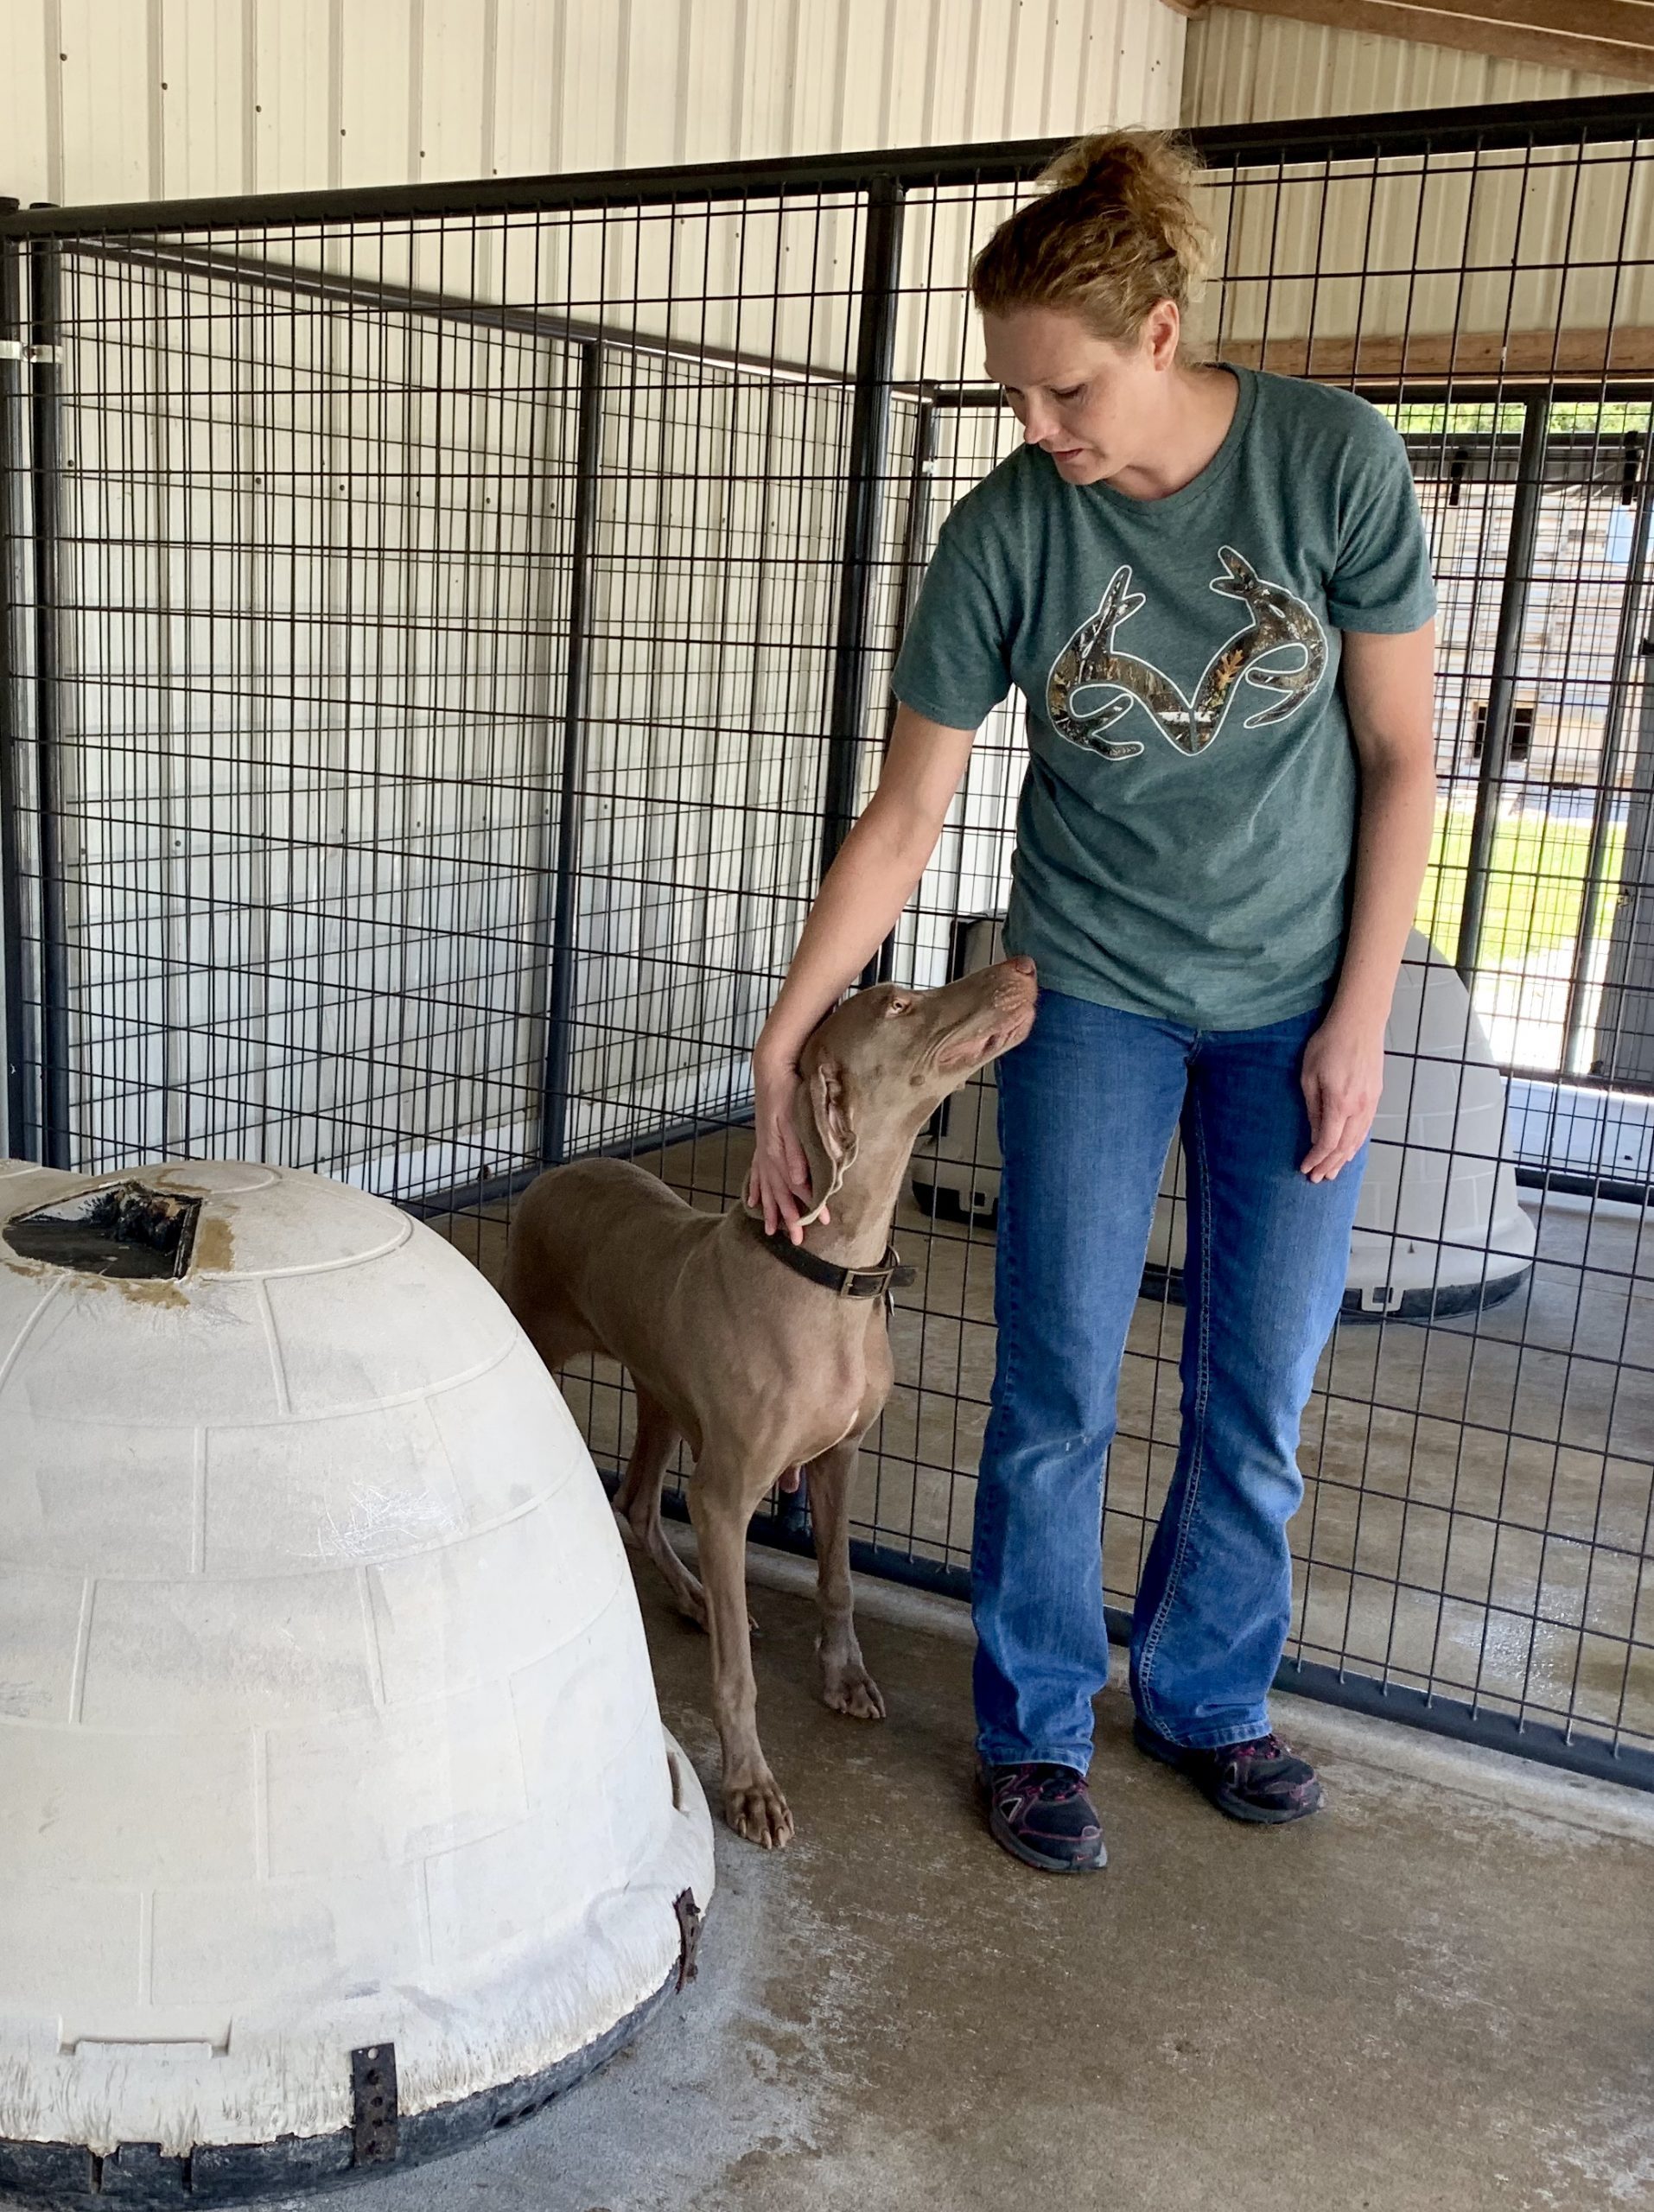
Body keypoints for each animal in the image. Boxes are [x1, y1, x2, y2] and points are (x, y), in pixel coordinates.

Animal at [504, 960, 1034, 1840]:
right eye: (898, 1005)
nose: (1021, 967)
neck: (830, 1274)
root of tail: (558, 1169)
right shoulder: (725, 1500)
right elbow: (738, 1675)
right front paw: (751, 1786)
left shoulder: (840, 1456)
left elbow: (839, 1580)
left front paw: (844, 1677)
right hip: (546, 1349)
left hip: (661, 1392)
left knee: (638, 1502)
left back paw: (695, 1599)